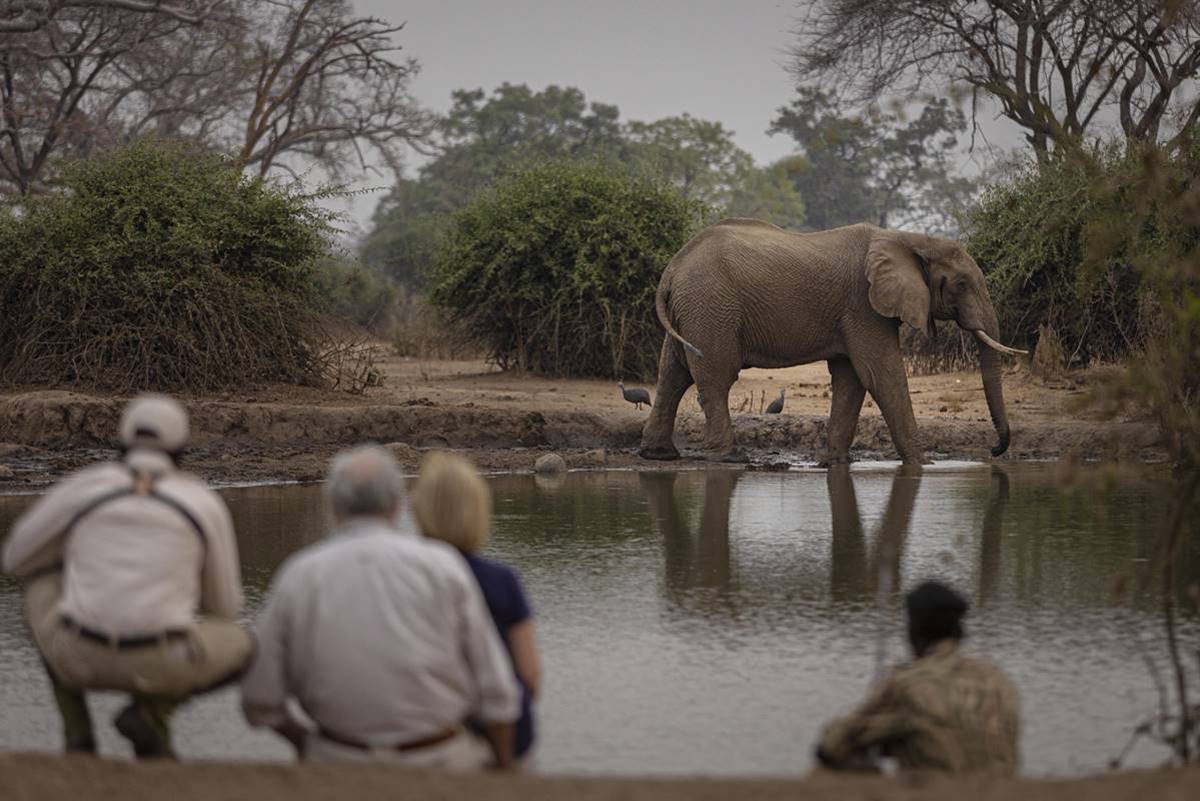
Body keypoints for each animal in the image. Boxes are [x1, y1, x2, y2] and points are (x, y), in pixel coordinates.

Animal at [638, 221, 1022, 465]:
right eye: (961, 285)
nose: (994, 451)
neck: (906, 238)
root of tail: (671, 269)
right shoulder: (864, 305)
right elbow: (881, 375)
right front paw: (922, 465)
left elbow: (852, 378)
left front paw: (832, 462)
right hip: (711, 308)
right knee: (716, 377)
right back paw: (729, 457)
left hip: (693, 310)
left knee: (672, 374)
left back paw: (659, 454)